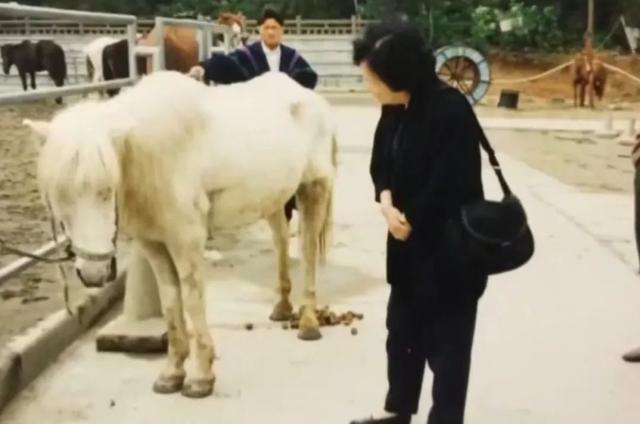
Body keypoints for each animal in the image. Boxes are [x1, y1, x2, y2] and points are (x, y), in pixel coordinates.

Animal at [23, 71, 336, 400]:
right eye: (59, 196)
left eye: (106, 190)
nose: (94, 273)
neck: (150, 154)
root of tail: (309, 97)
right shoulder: (154, 244)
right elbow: (171, 302)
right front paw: (172, 374)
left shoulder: (186, 240)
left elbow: (192, 299)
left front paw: (201, 378)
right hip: (274, 200)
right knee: (281, 242)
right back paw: (282, 307)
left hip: (313, 188)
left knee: (309, 251)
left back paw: (308, 322)